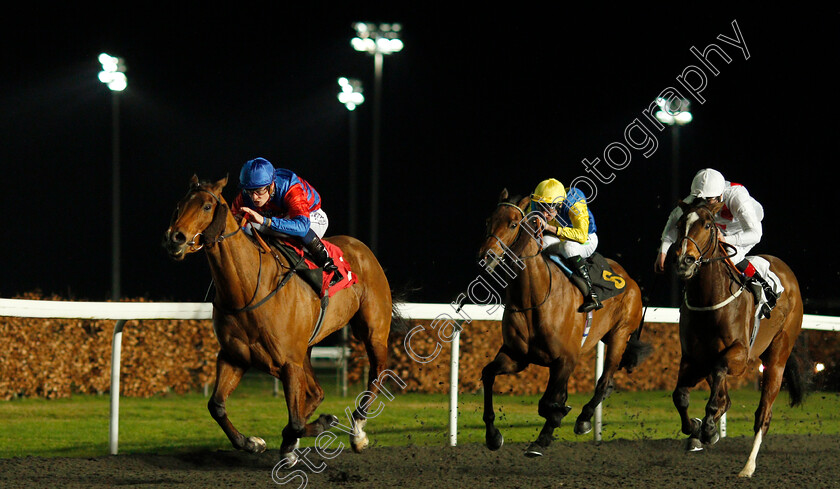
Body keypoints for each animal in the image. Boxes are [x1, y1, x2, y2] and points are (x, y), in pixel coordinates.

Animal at [164, 175, 400, 466]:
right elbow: (216, 406)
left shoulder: (289, 362)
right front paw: (253, 443)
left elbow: (296, 422)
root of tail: (362, 248)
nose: (175, 238)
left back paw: (357, 433)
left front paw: (321, 424)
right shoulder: (235, 357)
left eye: (207, 206)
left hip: (373, 331)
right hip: (306, 349)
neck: (248, 290)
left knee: (376, 375)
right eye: (180, 204)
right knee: (316, 392)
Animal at [480, 189, 648, 456]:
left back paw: (584, 419)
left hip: (619, 335)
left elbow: (548, 402)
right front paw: (493, 436)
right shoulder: (517, 357)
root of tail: (628, 279)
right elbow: (488, 375)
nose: (486, 256)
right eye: (488, 220)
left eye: (513, 224)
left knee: (605, 381)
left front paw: (543, 436)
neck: (534, 298)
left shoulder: (566, 359)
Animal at [668, 195, 808, 476]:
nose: (684, 261)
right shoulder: (693, 358)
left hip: (777, 358)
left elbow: (719, 376)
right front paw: (697, 428)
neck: (710, 299)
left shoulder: (740, 356)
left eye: (708, 225)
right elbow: (680, 396)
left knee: (763, 415)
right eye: (679, 224)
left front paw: (709, 427)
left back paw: (748, 466)